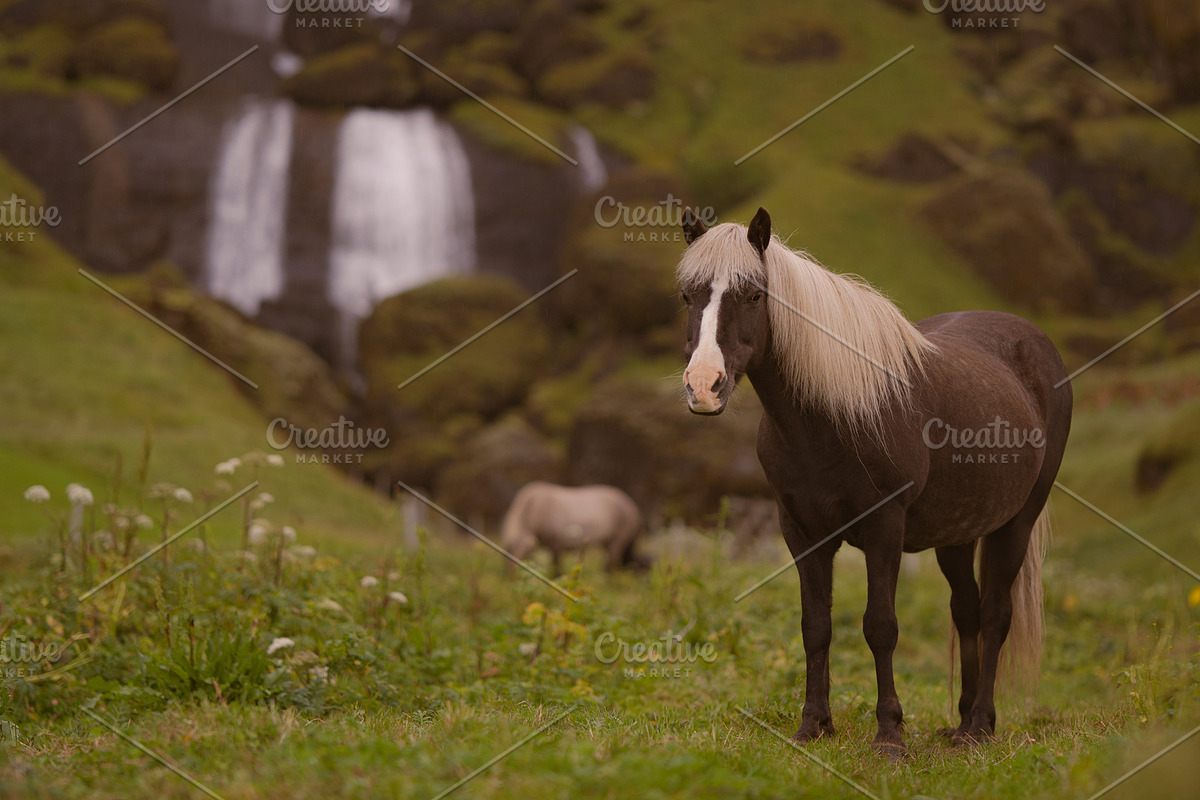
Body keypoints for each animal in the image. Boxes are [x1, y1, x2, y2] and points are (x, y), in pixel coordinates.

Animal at [500, 481, 649, 575]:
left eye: (519, 556)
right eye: (505, 554)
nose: (512, 576)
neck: (532, 509)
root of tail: (634, 508)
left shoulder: (557, 545)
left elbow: (557, 568)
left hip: (618, 540)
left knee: (611, 562)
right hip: (607, 542)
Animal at [675, 207, 1072, 757]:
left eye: (754, 294)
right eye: (687, 295)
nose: (703, 387)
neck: (832, 417)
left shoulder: (884, 528)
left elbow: (880, 627)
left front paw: (889, 736)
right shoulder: (801, 532)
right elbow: (816, 626)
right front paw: (813, 725)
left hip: (1017, 521)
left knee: (995, 614)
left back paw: (979, 727)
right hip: (957, 535)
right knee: (966, 611)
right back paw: (963, 721)